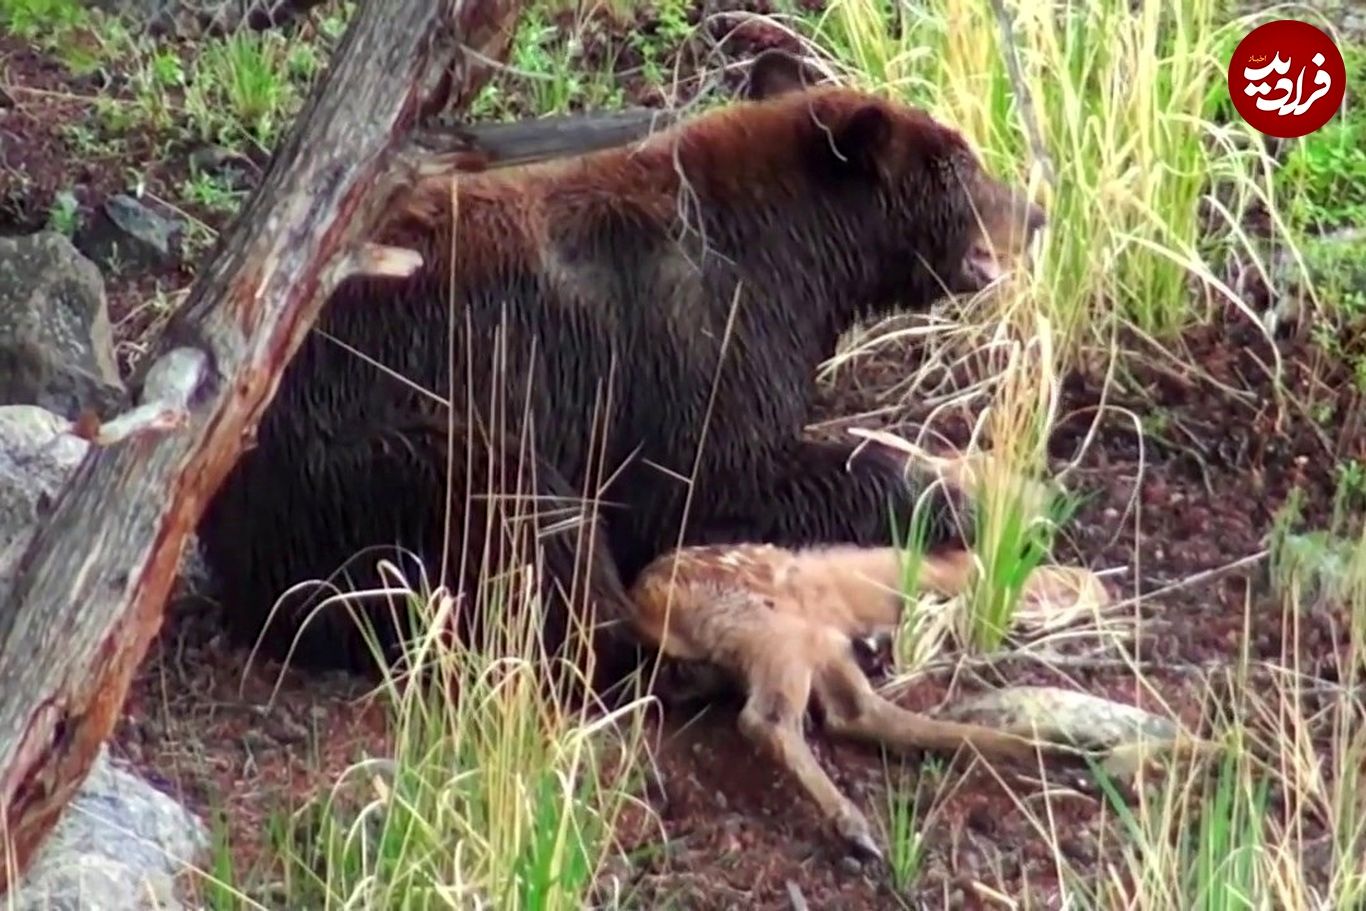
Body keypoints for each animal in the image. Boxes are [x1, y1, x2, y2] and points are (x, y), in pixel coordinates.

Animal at [195, 48, 1043, 691]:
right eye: (962, 165)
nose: (1036, 210)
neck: (796, 261)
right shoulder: (689, 343)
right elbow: (719, 474)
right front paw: (956, 500)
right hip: (390, 444)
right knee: (524, 525)